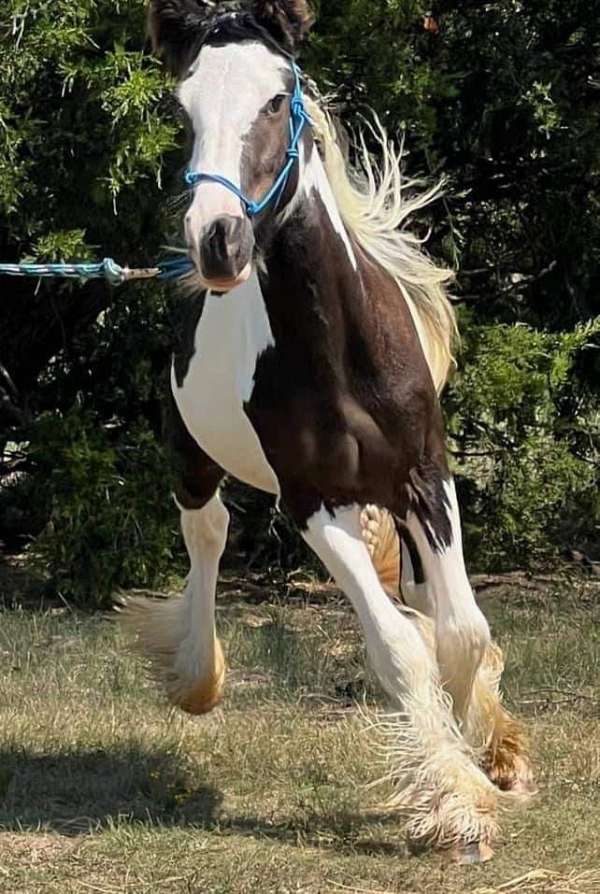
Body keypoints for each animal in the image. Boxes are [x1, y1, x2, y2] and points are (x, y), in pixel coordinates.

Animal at [125, 1, 536, 868]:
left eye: (278, 98)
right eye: (183, 109)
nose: (219, 241)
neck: (340, 350)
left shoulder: (425, 480)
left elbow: (461, 633)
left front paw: (493, 754)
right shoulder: (314, 503)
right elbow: (400, 648)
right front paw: (457, 804)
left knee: (422, 596)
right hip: (193, 460)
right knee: (207, 534)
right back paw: (197, 677)